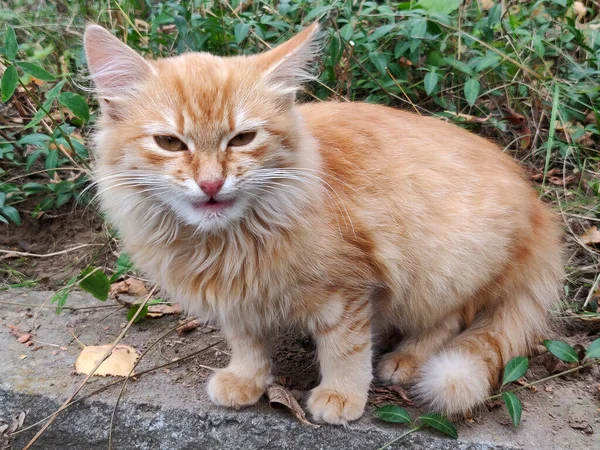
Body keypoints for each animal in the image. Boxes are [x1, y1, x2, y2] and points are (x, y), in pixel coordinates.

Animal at [83, 22, 564, 424]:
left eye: (242, 139)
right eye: (169, 143)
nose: (211, 183)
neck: (226, 242)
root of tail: (539, 208)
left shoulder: (347, 291)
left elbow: (344, 349)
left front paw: (341, 395)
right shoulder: (237, 299)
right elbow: (247, 343)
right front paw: (246, 379)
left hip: (445, 271)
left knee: (449, 321)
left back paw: (406, 359)